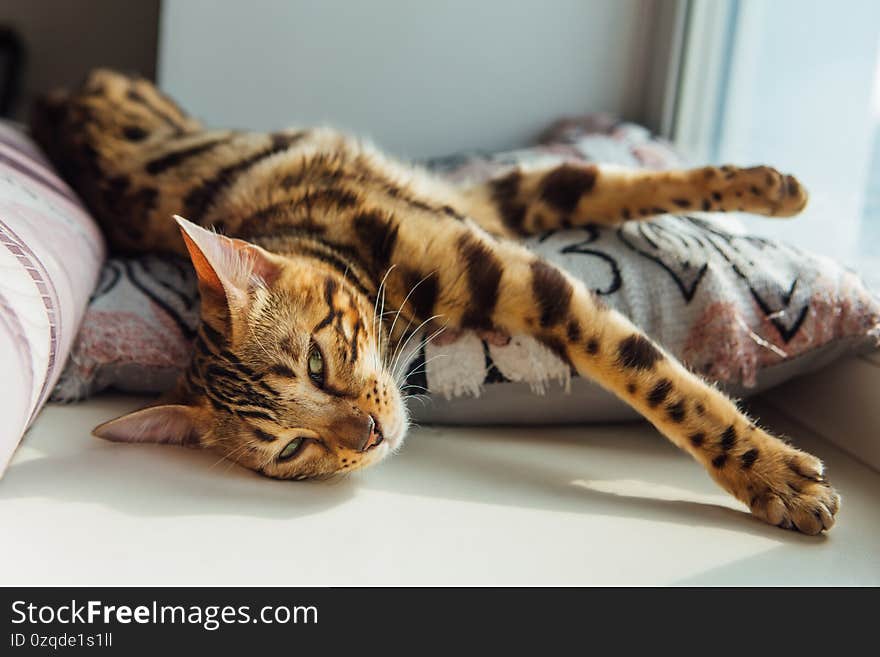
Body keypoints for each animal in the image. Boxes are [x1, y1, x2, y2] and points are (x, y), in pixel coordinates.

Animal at [29, 70, 840, 532]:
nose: (368, 435)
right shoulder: (499, 243)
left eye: (317, 362)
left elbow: (599, 188)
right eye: (290, 449)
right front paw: (772, 475)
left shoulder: (493, 244)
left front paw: (770, 187)